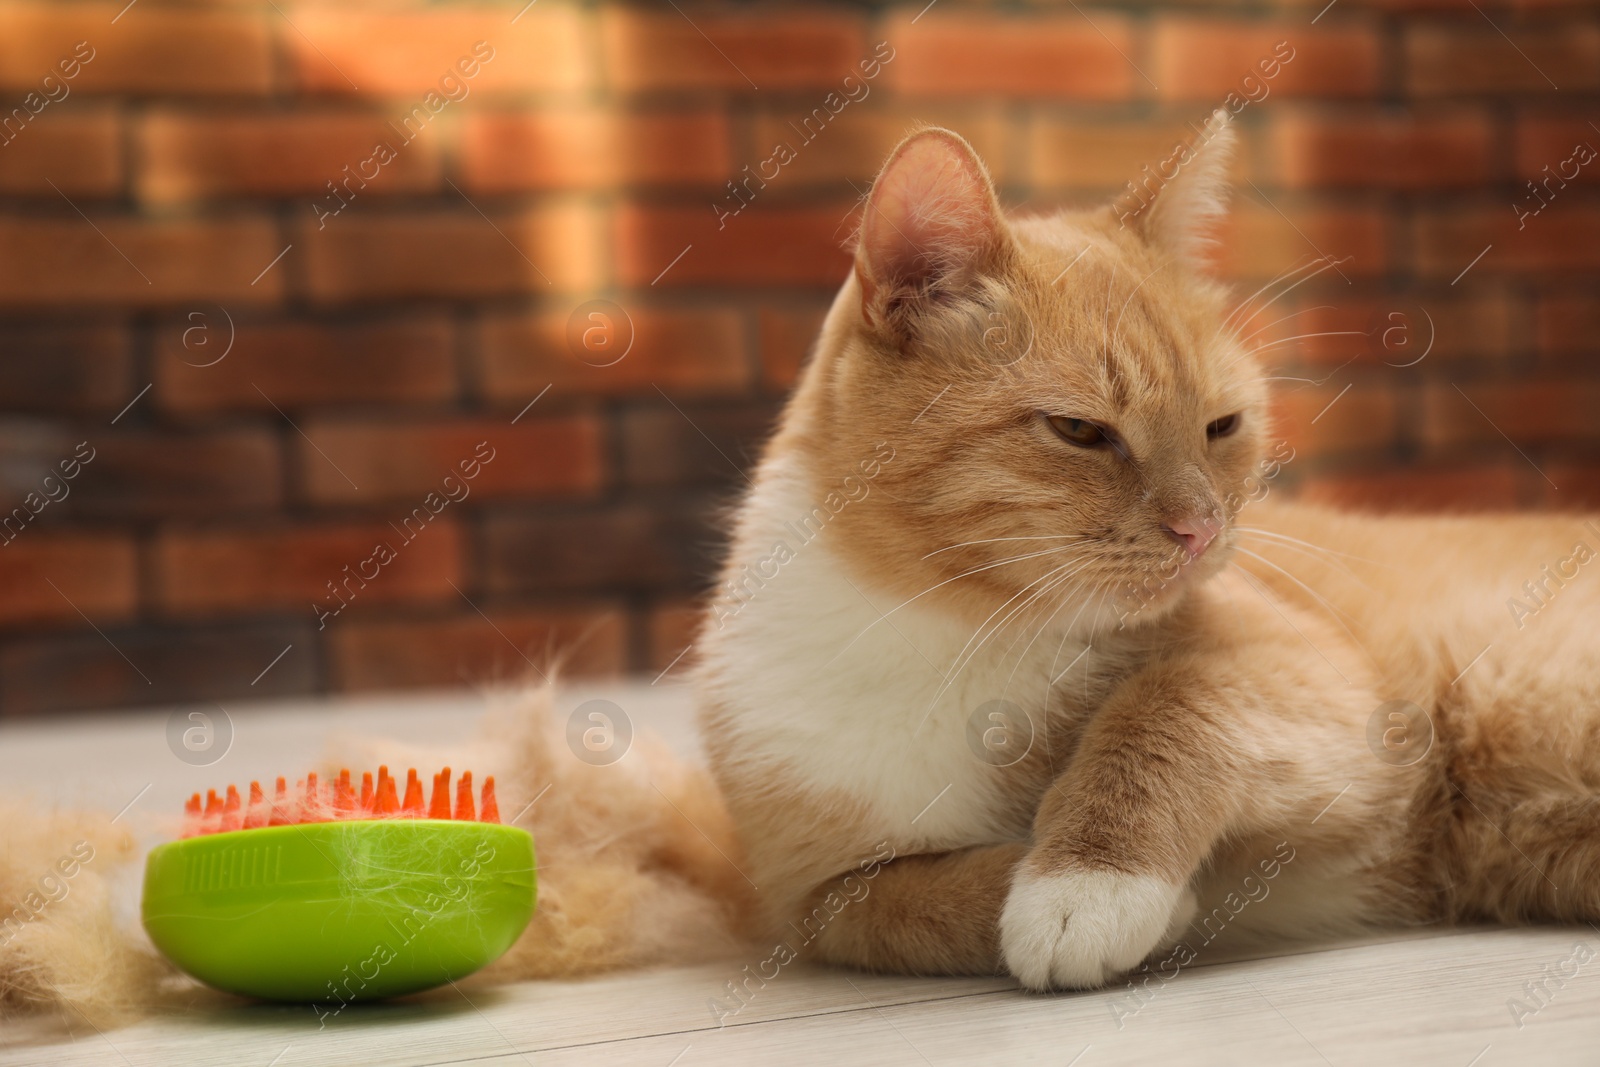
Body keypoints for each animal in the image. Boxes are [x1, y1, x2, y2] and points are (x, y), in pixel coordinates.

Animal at [694, 110, 1600, 991]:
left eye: (1222, 426)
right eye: (1079, 429)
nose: (1201, 528)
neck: (943, 635)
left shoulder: (1327, 683)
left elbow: (1164, 707)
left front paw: (1084, 883)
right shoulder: (811, 898)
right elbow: (886, 909)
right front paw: (1061, 891)